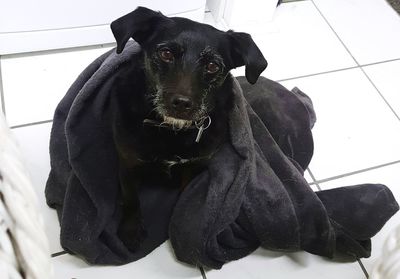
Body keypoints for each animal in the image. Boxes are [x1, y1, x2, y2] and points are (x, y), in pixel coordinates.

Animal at [108, 7, 268, 252]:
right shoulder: (128, 163)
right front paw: (131, 230)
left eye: (212, 66)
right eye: (166, 53)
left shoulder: (193, 166)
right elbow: (131, 198)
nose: (182, 104)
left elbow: (185, 193)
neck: (171, 130)